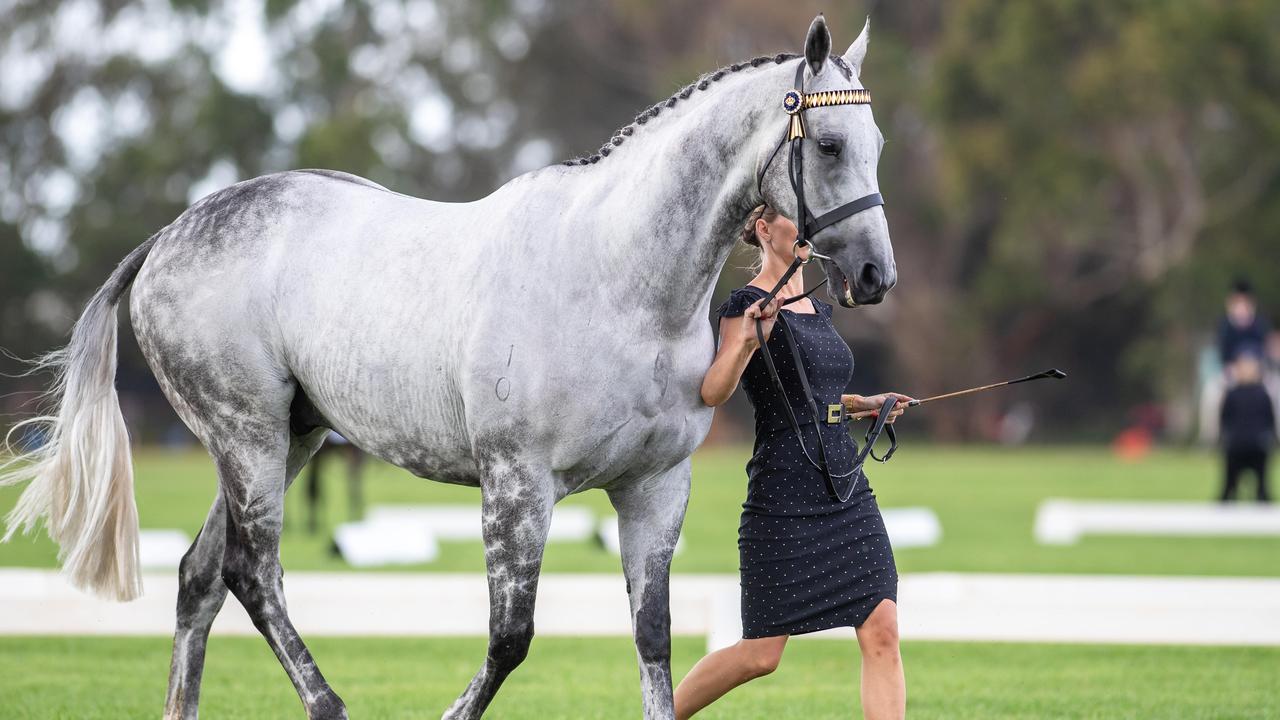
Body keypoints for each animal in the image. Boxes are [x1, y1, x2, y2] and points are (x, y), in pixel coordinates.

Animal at [5, 12, 896, 717]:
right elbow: (510, 638)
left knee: (198, 578)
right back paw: (329, 705)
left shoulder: (655, 487)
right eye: (828, 144)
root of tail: (171, 234)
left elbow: (654, 640)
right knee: (252, 574)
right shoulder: (517, 485)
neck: (620, 281)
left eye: (879, 144)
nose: (876, 276)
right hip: (246, 436)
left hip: (292, 438)